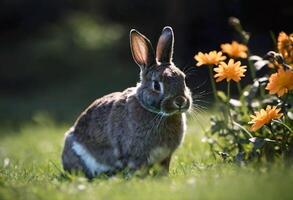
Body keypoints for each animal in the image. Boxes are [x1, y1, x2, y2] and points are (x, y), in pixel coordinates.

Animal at [61, 26, 192, 178]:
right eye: (156, 85)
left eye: (183, 78)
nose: (180, 101)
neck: (157, 113)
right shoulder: (135, 156)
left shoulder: (165, 157)